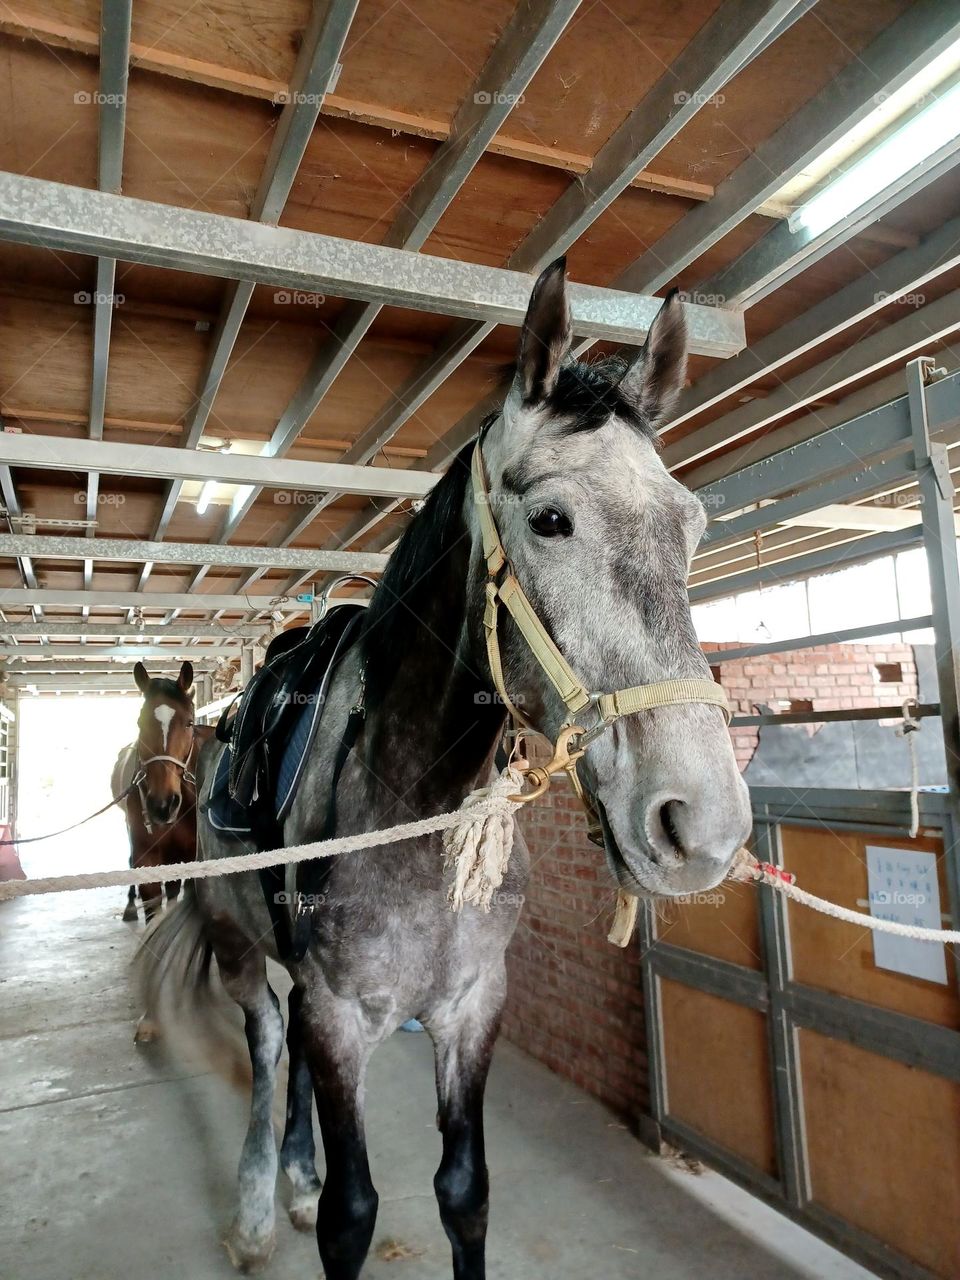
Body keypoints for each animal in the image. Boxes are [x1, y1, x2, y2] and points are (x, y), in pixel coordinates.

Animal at [141, 259, 751, 1279]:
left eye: (693, 526)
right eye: (550, 520)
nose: (702, 827)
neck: (411, 802)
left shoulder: (471, 1008)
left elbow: (464, 1194)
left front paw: (327, 1185)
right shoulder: (339, 1013)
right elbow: (353, 1214)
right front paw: (299, 1202)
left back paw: (292, 1178)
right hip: (236, 945)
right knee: (267, 1045)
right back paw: (259, 1203)